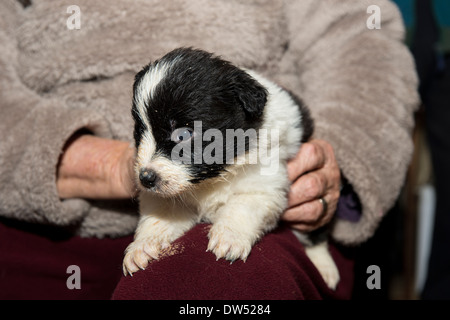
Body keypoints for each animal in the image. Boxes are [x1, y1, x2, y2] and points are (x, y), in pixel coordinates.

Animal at [121, 47, 340, 290]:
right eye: (140, 130)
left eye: (183, 135)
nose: (145, 178)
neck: (213, 178)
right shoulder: (170, 196)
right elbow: (158, 216)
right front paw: (142, 246)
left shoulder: (264, 185)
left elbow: (241, 206)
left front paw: (229, 237)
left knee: (315, 233)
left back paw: (324, 267)